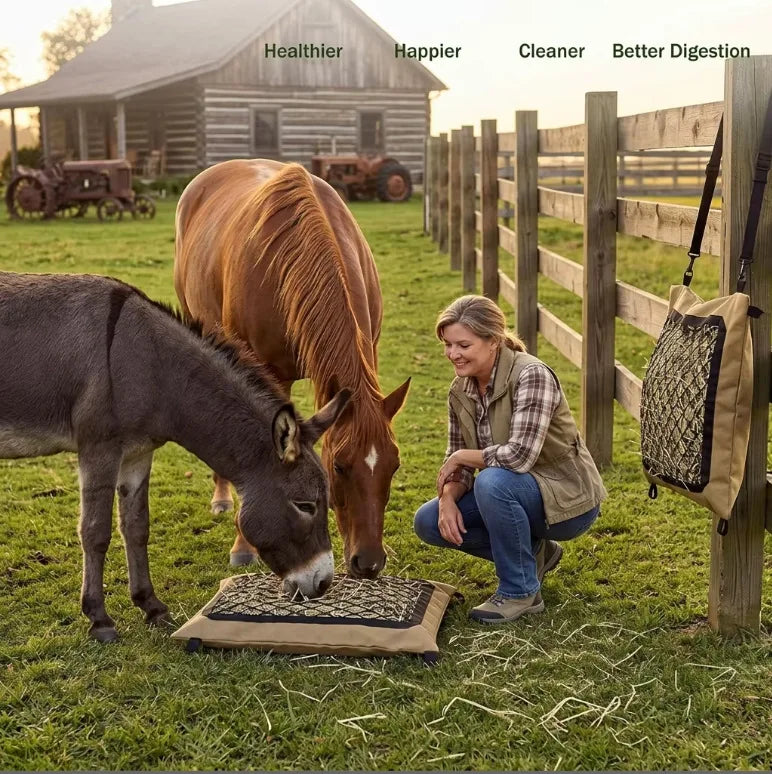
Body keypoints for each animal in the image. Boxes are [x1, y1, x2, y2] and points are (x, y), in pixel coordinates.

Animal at [0, 271, 350, 642]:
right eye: (305, 505)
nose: (324, 583)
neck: (151, 366)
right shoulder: (99, 449)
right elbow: (95, 532)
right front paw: (100, 619)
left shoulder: (137, 454)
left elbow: (136, 526)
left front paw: (151, 606)